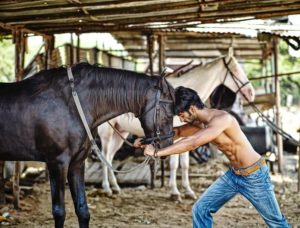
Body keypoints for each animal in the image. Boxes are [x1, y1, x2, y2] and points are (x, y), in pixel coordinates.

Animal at [0, 62, 175, 226]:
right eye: (168, 111)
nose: (168, 145)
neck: (71, 104)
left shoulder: (77, 163)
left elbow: (83, 210)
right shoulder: (57, 163)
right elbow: (59, 212)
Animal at [96, 53, 255, 200]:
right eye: (235, 69)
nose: (250, 93)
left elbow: (184, 165)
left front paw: (188, 191)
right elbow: (174, 164)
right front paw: (175, 192)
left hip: (120, 133)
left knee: (109, 157)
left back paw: (115, 187)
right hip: (107, 133)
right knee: (104, 156)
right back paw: (107, 188)